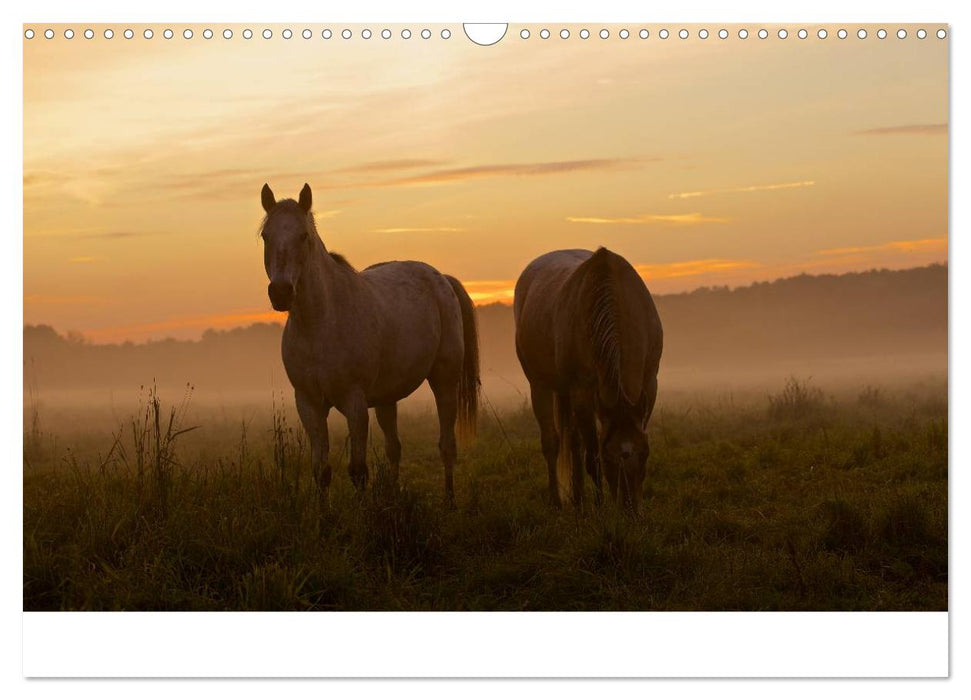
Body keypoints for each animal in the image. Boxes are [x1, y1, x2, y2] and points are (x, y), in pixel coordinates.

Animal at [256, 183, 480, 506]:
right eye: (266, 235)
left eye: (303, 236)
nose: (281, 292)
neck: (319, 324)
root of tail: (441, 279)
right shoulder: (309, 404)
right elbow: (321, 470)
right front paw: (324, 517)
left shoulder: (355, 403)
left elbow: (358, 471)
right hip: (387, 398)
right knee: (394, 448)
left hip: (445, 382)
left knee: (446, 445)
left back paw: (449, 502)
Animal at [512, 249, 664, 512]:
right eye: (609, 457)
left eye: (644, 453)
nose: (631, 509)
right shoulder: (582, 392)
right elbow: (592, 456)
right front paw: (600, 507)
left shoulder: (648, 383)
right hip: (540, 386)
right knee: (553, 442)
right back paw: (560, 502)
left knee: (573, 441)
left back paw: (578, 498)